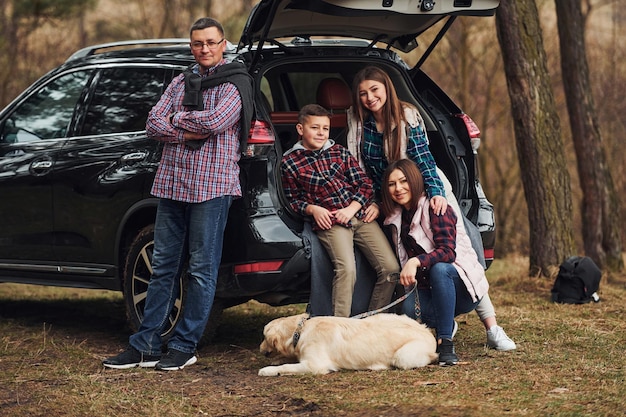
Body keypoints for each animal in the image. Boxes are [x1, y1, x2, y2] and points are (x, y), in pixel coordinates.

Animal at [256, 310, 436, 376]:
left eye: (264, 337)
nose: (260, 350)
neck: (300, 331)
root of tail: (427, 331)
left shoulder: (315, 365)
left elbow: (286, 367)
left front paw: (267, 370)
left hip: (403, 356)